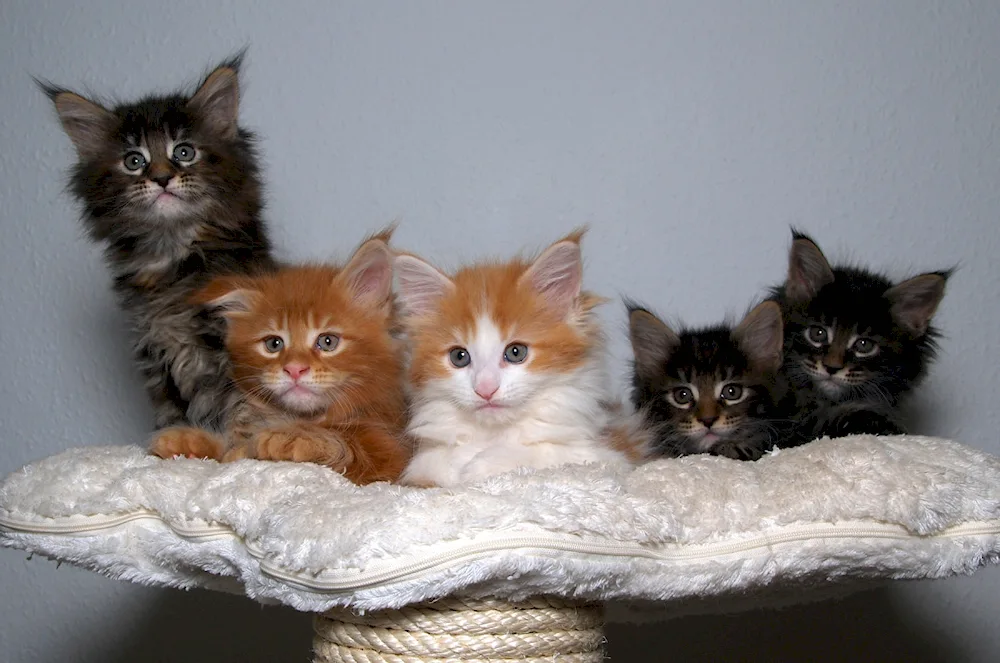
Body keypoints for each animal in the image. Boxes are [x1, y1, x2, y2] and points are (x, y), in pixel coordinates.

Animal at [41, 55, 276, 430]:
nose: (162, 178)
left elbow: (244, 414)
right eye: (134, 161)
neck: (172, 259)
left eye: (184, 152)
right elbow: (172, 417)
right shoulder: (154, 356)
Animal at [150, 233, 408, 488]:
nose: (294, 369)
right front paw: (189, 440)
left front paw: (288, 437)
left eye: (327, 342)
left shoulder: (390, 453)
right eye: (274, 344)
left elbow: (346, 444)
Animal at [394, 232, 652, 488]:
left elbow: (547, 453)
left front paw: (480, 465)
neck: (495, 434)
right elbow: (436, 463)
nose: (485, 389)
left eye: (516, 352)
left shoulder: (609, 455)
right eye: (459, 357)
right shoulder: (421, 464)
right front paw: (459, 463)